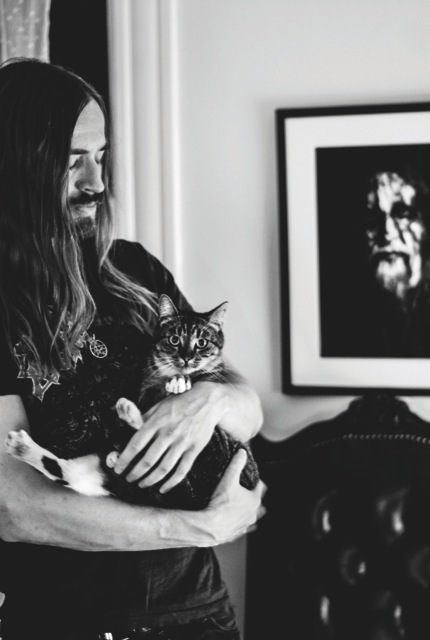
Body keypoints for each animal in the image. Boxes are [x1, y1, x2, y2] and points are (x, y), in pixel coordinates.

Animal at [5, 294, 260, 510]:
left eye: (202, 343)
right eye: (174, 339)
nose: (186, 358)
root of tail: (193, 499)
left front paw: (179, 383)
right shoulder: (145, 391)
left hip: (222, 444)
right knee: (71, 470)